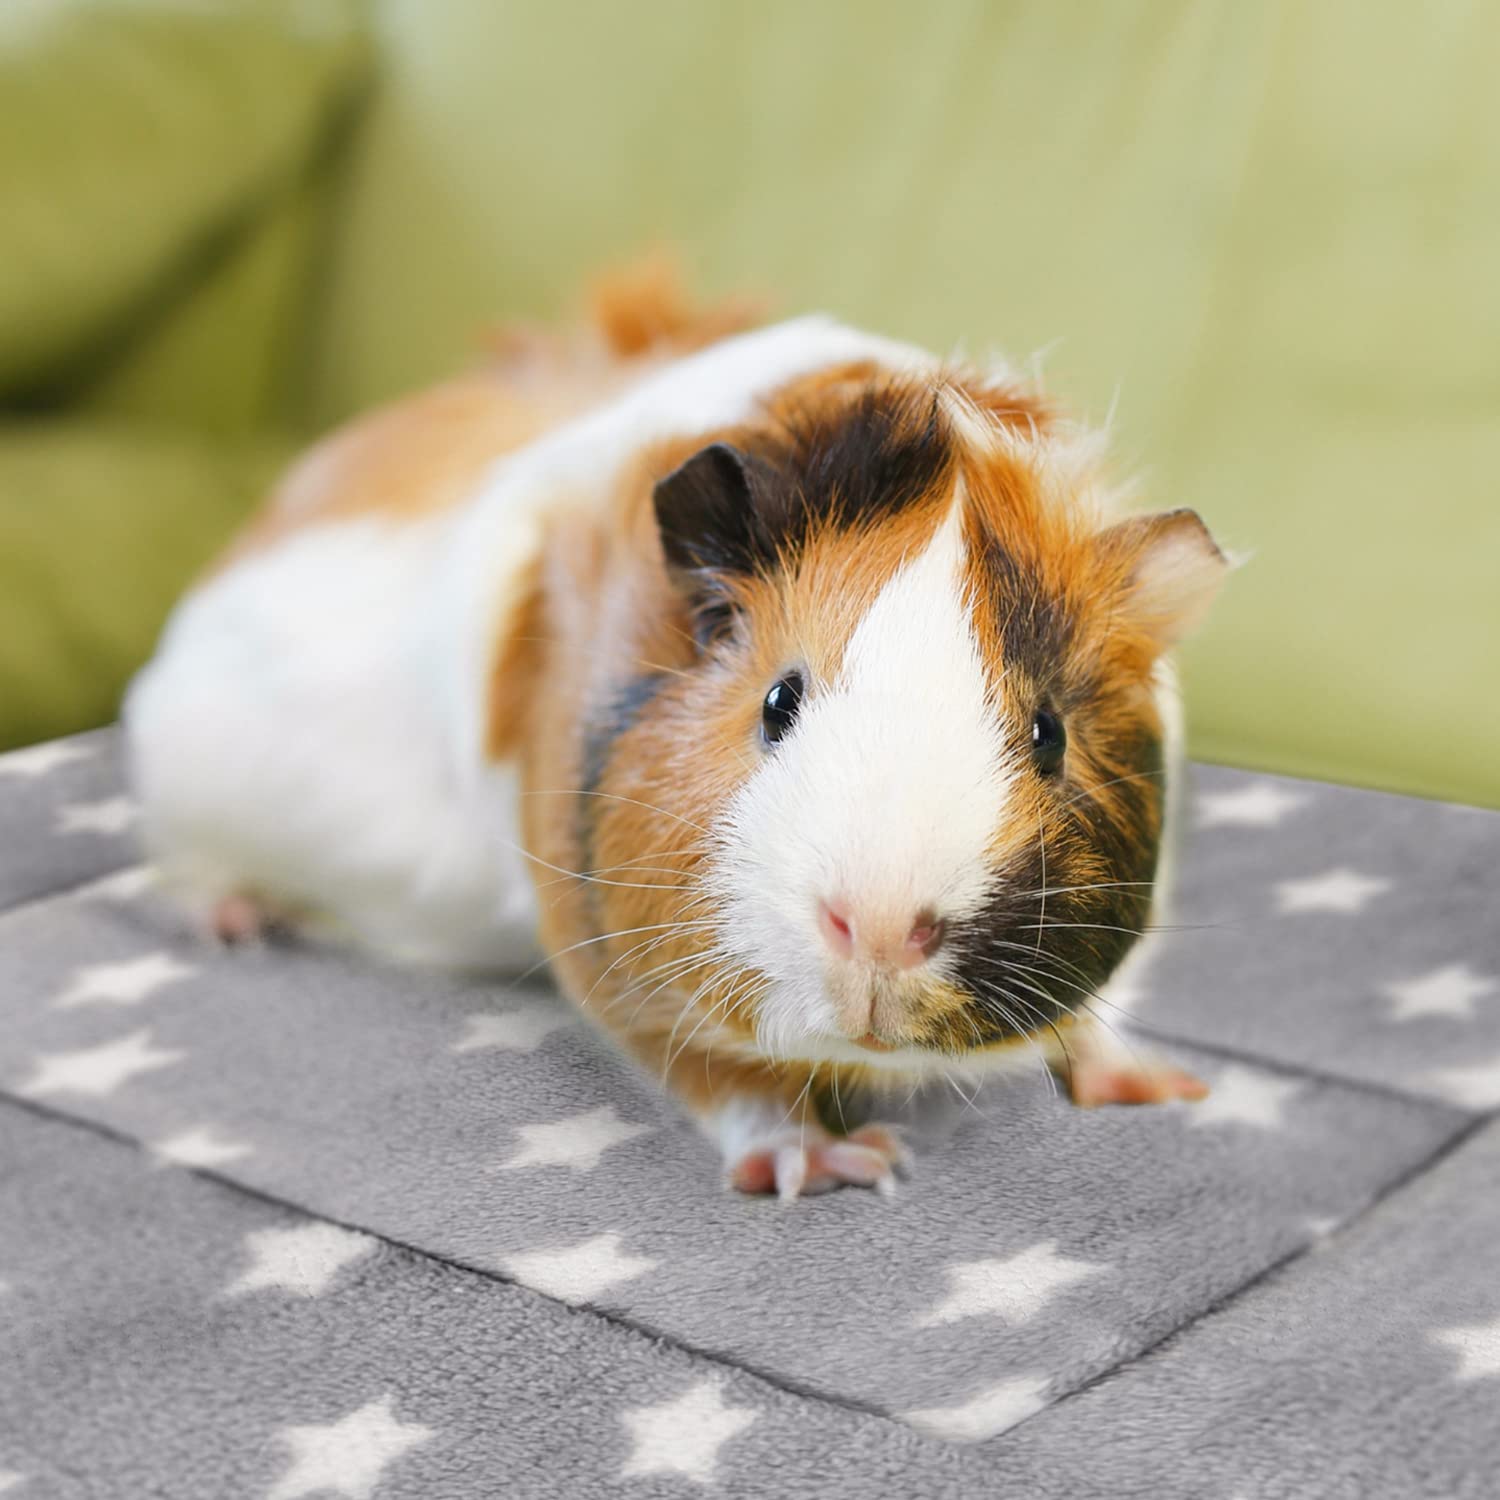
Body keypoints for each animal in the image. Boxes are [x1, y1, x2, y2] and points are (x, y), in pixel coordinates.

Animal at [126, 265, 1228, 1198]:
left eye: (1047, 733)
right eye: (778, 702)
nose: (877, 928)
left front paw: (1167, 1087)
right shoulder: (621, 974)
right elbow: (726, 1084)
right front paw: (833, 1166)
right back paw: (236, 926)